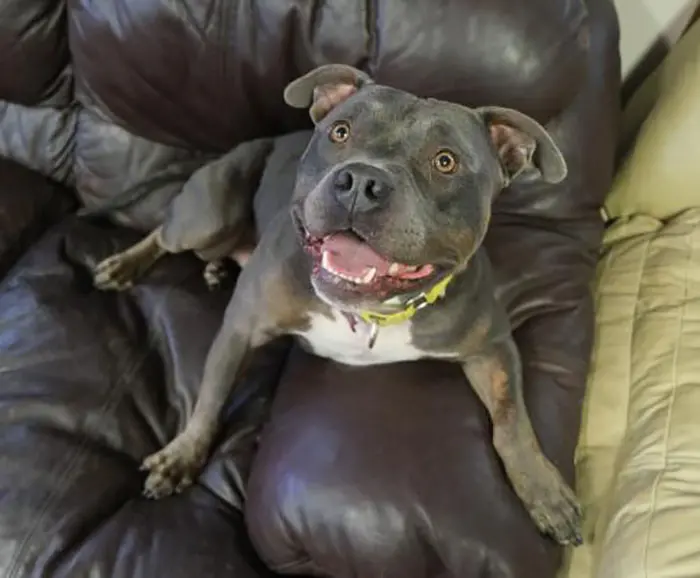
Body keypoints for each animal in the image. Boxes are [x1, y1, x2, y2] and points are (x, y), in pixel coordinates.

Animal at [94, 64, 584, 544]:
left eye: (446, 161)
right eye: (340, 132)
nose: (362, 181)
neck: (373, 313)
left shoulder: (493, 346)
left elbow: (513, 420)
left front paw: (544, 489)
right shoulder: (240, 328)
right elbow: (210, 399)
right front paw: (182, 456)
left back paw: (214, 270)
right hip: (207, 218)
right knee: (164, 233)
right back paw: (124, 265)